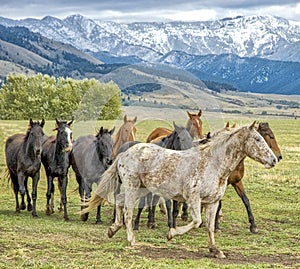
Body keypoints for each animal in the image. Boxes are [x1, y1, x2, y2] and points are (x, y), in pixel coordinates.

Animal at [81, 121, 276, 258]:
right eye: (258, 139)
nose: (274, 160)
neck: (213, 164)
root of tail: (123, 154)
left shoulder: (212, 202)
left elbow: (210, 226)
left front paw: (215, 250)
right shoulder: (193, 198)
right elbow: (196, 221)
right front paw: (171, 234)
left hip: (141, 188)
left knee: (120, 202)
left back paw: (113, 229)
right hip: (132, 187)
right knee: (128, 210)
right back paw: (131, 240)